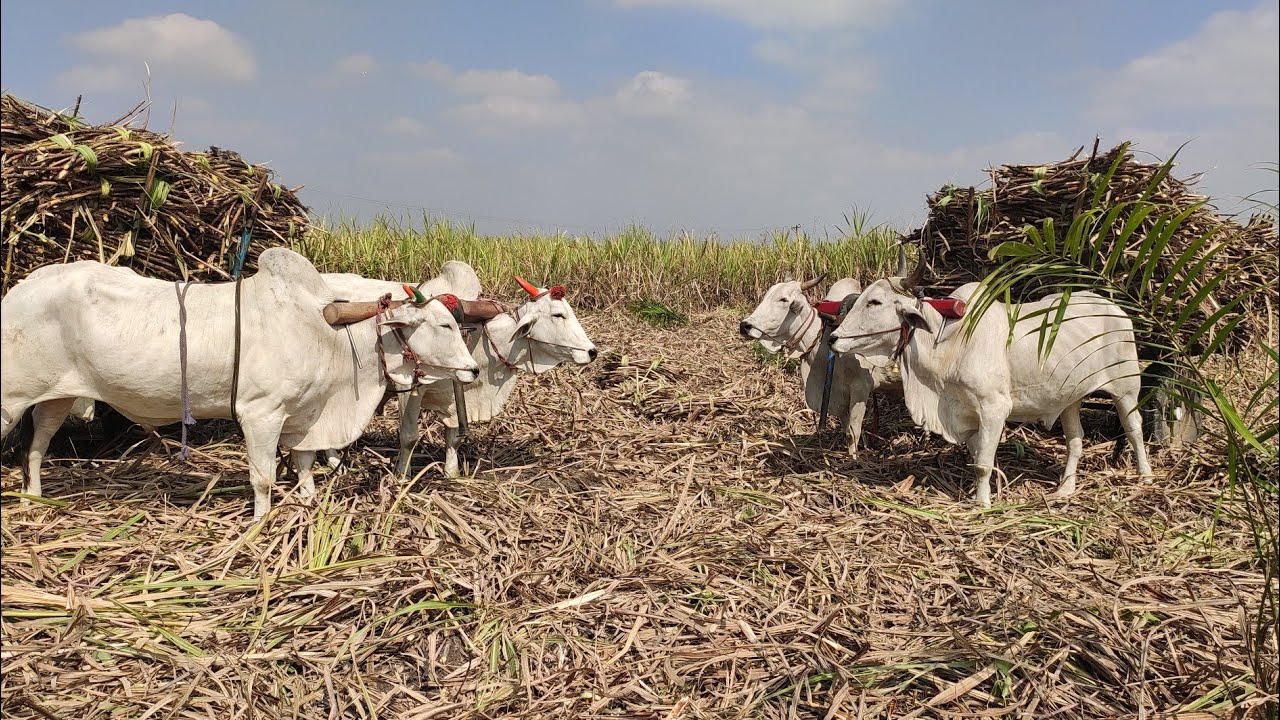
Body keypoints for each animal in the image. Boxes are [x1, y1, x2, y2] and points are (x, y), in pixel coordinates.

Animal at [0, 248, 480, 519]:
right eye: (443, 324)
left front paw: (307, 504)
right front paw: (260, 523)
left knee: (36, 448)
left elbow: (304, 465)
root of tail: (21, 288)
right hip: (10, 400)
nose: (473, 370)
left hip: (56, 398)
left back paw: (34, 500)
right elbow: (263, 478)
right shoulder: (261, 415)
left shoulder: (304, 417)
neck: (329, 334)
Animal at [322, 269, 598, 476]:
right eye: (558, 314)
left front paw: (452, 472)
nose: (592, 352)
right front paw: (402, 476)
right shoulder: (409, 388)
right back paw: (335, 462)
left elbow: (453, 436)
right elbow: (409, 436)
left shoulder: (456, 392)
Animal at [740, 276, 895, 456]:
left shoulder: (860, 389)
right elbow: (847, 432)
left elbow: (853, 433)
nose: (744, 326)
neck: (821, 339)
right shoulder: (838, 395)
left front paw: (854, 459)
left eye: (783, 299)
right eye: (766, 295)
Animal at [828, 264, 1153, 506]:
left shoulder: (994, 408)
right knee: (1075, 440)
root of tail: (1115, 308)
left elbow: (983, 462)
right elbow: (978, 456)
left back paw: (1145, 476)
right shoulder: (969, 415)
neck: (947, 344)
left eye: (875, 302)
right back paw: (1065, 488)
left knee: (1134, 428)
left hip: (1126, 387)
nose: (833, 338)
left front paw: (982, 504)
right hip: (1070, 398)